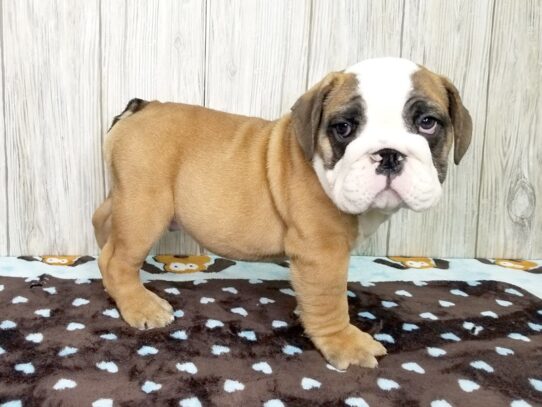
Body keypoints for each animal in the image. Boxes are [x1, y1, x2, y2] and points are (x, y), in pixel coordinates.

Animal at [93, 58, 472, 372]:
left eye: (428, 123)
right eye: (344, 128)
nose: (389, 153)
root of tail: (141, 107)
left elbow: (316, 296)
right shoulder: (322, 252)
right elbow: (331, 300)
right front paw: (343, 342)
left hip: (125, 199)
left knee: (103, 225)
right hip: (144, 208)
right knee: (117, 260)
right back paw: (139, 305)